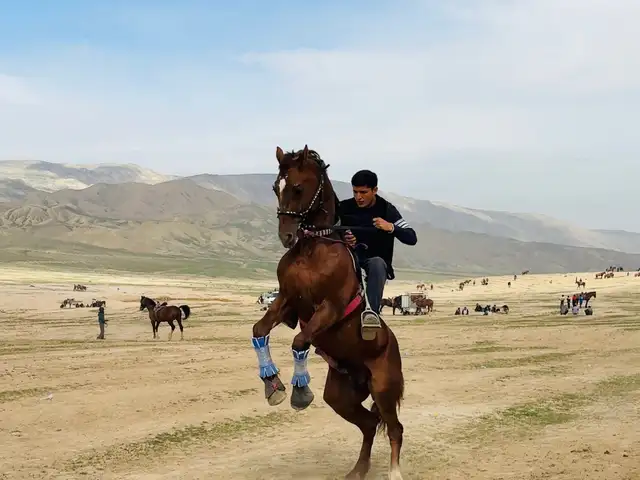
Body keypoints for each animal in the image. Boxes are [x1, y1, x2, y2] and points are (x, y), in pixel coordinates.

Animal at [250, 145, 406, 479]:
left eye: (297, 187)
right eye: (275, 187)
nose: (286, 236)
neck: (312, 250)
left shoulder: (330, 307)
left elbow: (299, 341)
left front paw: (299, 393)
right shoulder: (286, 301)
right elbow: (259, 331)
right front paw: (273, 385)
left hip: (383, 388)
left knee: (395, 428)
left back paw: (394, 472)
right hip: (341, 396)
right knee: (369, 425)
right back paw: (358, 470)